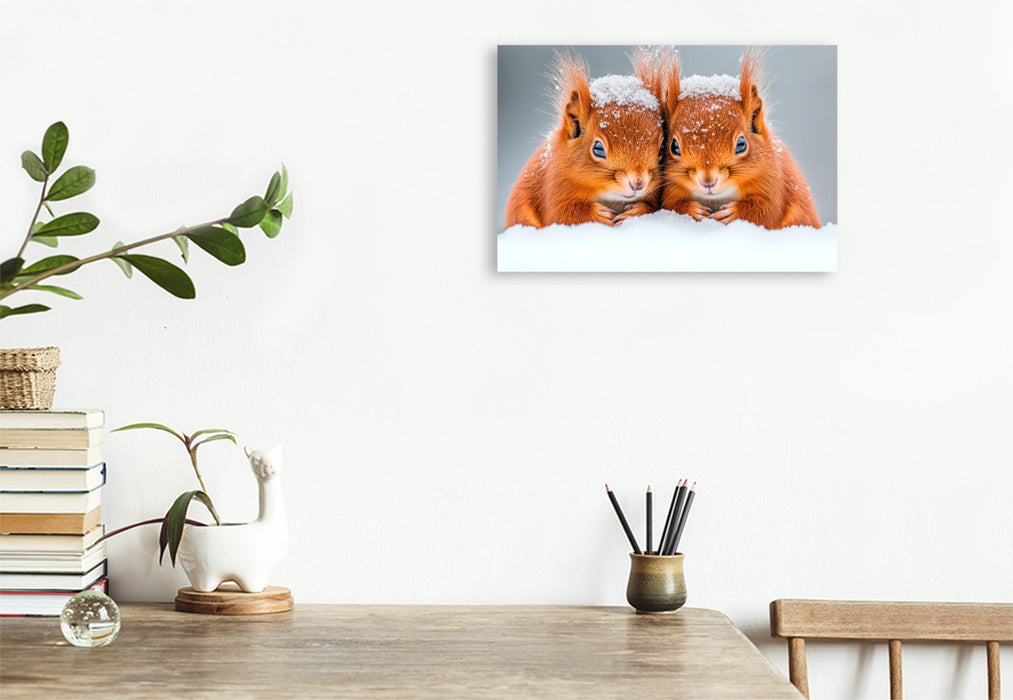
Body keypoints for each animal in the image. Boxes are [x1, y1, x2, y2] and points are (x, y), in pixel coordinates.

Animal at [504, 53, 666, 229]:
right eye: (598, 149)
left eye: (662, 149)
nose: (638, 183)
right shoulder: (554, 185)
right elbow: (560, 215)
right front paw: (597, 215)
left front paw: (637, 212)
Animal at [648, 48, 821, 229]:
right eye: (674, 147)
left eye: (741, 144)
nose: (708, 181)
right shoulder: (671, 188)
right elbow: (671, 205)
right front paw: (692, 210)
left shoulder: (772, 181)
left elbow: (767, 212)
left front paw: (734, 213)